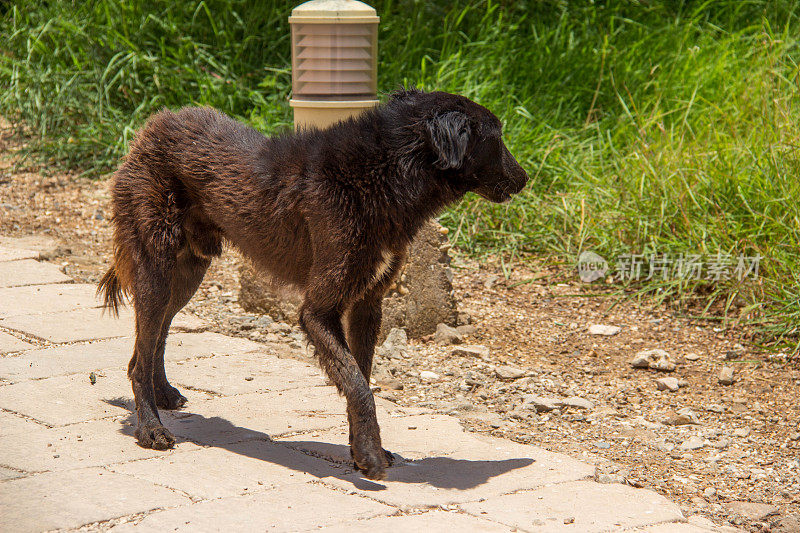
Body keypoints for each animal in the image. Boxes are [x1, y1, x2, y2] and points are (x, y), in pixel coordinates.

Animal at [100, 87, 528, 478]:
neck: (382, 173)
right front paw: (370, 458)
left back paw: (162, 395)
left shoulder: (367, 306)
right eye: (497, 138)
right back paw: (151, 428)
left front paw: (363, 450)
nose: (525, 179)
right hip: (156, 271)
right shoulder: (318, 311)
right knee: (139, 354)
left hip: (187, 275)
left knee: (154, 338)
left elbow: (361, 377)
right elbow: (357, 383)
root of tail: (151, 126)